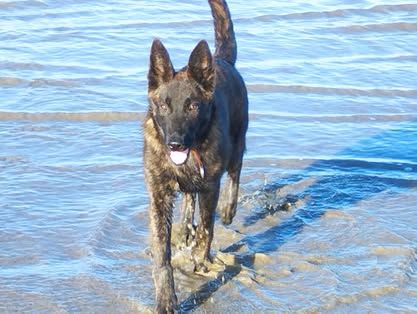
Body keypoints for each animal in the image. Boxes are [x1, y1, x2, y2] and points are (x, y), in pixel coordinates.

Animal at [143, 0, 247, 312]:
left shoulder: (210, 185)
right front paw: (166, 298)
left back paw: (228, 210)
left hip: (238, 143)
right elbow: (161, 252)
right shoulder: (158, 193)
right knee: (189, 196)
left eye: (192, 106)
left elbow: (207, 229)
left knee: (235, 172)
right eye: (164, 106)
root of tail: (221, 60)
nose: (176, 144)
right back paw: (185, 225)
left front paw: (200, 261)